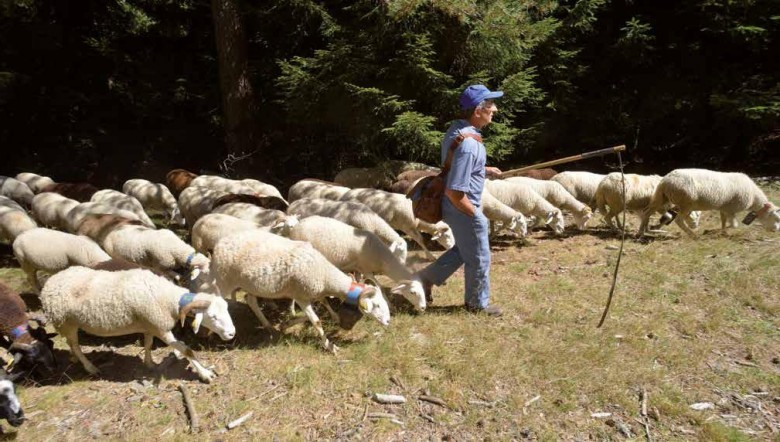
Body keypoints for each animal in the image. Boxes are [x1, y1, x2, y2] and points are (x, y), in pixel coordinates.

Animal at [40, 266, 235, 384]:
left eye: (226, 309)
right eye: (212, 316)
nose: (232, 334)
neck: (168, 298)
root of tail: (49, 282)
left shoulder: (150, 325)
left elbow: (148, 344)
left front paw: (149, 363)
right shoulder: (161, 328)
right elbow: (186, 350)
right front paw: (205, 373)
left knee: (71, 344)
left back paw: (75, 359)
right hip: (65, 322)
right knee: (75, 345)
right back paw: (90, 367)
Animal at [210, 231, 390, 352]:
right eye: (377, 305)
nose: (389, 322)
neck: (325, 274)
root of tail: (219, 244)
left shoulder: (309, 293)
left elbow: (322, 305)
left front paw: (286, 324)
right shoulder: (301, 295)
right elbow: (316, 321)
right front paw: (329, 346)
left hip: (250, 284)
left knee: (250, 300)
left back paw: (269, 326)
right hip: (223, 279)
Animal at [284, 218, 424, 310]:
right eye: (413, 292)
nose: (423, 308)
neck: (382, 259)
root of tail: (296, 226)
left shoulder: (358, 268)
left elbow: (359, 282)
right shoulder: (366, 269)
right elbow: (379, 286)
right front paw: (390, 305)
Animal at [640, 169, 780, 237]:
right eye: (775, 218)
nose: (775, 230)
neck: (754, 197)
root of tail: (666, 180)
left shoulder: (724, 207)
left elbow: (723, 221)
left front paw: (722, 231)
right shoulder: (731, 209)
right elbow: (734, 225)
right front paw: (714, 232)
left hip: (661, 197)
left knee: (646, 213)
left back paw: (641, 232)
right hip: (686, 202)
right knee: (679, 220)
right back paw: (692, 235)